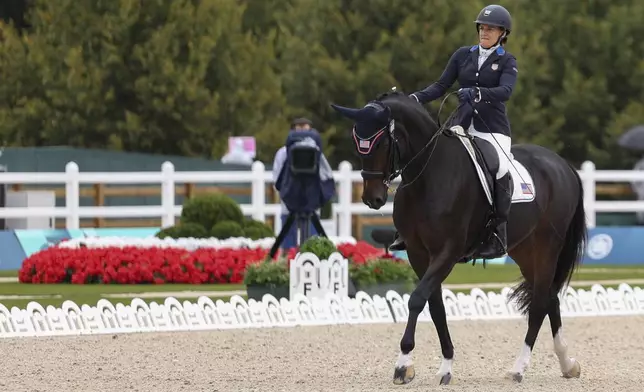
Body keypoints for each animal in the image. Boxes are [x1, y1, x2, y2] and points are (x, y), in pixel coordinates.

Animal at [332, 89, 588, 386]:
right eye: (357, 142)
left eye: (382, 142)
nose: (372, 199)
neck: (428, 175)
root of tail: (563, 164)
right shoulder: (418, 253)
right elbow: (435, 306)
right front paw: (444, 366)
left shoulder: (448, 252)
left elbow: (416, 299)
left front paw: (403, 365)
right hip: (525, 250)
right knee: (549, 298)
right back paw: (567, 364)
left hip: (547, 247)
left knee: (538, 305)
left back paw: (519, 368)